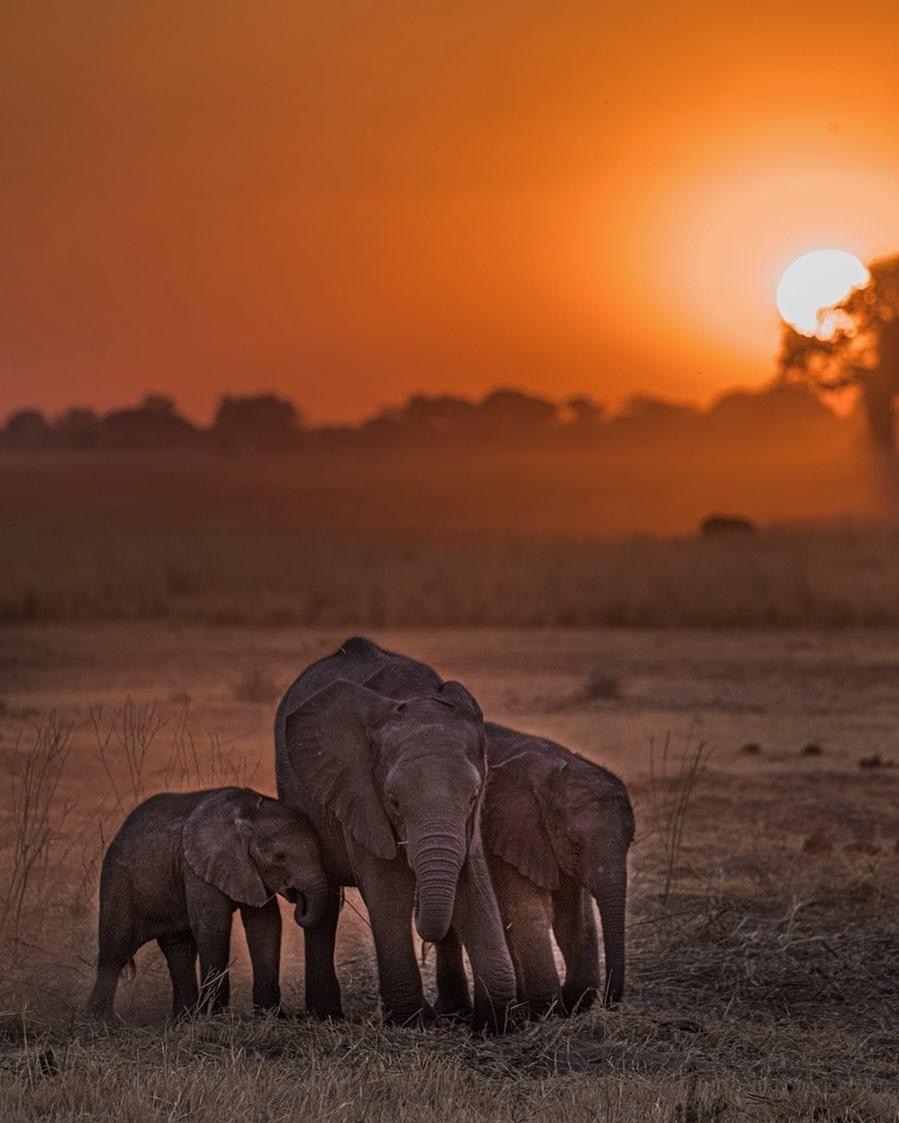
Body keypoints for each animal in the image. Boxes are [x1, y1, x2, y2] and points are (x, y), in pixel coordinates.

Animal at [85, 790, 325, 1019]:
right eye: (280, 857)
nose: (297, 896)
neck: (249, 813)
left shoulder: (250, 871)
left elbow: (265, 926)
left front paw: (273, 1017)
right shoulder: (197, 867)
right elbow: (214, 926)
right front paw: (216, 1017)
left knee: (179, 950)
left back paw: (184, 1020)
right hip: (118, 880)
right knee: (115, 950)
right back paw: (100, 1021)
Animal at [271, 637, 511, 1028]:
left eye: (474, 796)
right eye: (394, 801)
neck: (414, 694)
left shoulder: (469, 823)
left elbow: (472, 883)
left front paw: (493, 1023)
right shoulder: (359, 790)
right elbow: (388, 889)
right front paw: (413, 1021)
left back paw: (453, 1010)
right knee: (325, 903)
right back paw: (327, 1015)